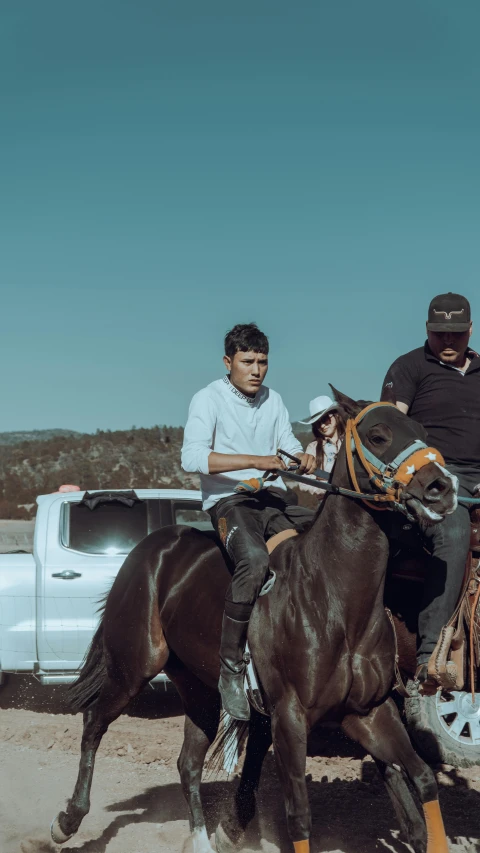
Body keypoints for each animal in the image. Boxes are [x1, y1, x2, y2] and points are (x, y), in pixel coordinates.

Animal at [51, 392, 458, 852]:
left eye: (422, 432)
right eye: (378, 435)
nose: (443, 488)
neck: (334, 599)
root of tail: (149, 550)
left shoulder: (369, 712)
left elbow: (423, 779)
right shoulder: (290, 718)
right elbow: (299, 818)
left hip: (198, 687)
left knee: (188, 763)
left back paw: (201, 839)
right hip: (132, 666)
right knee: (93, 724)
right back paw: (67, 820)